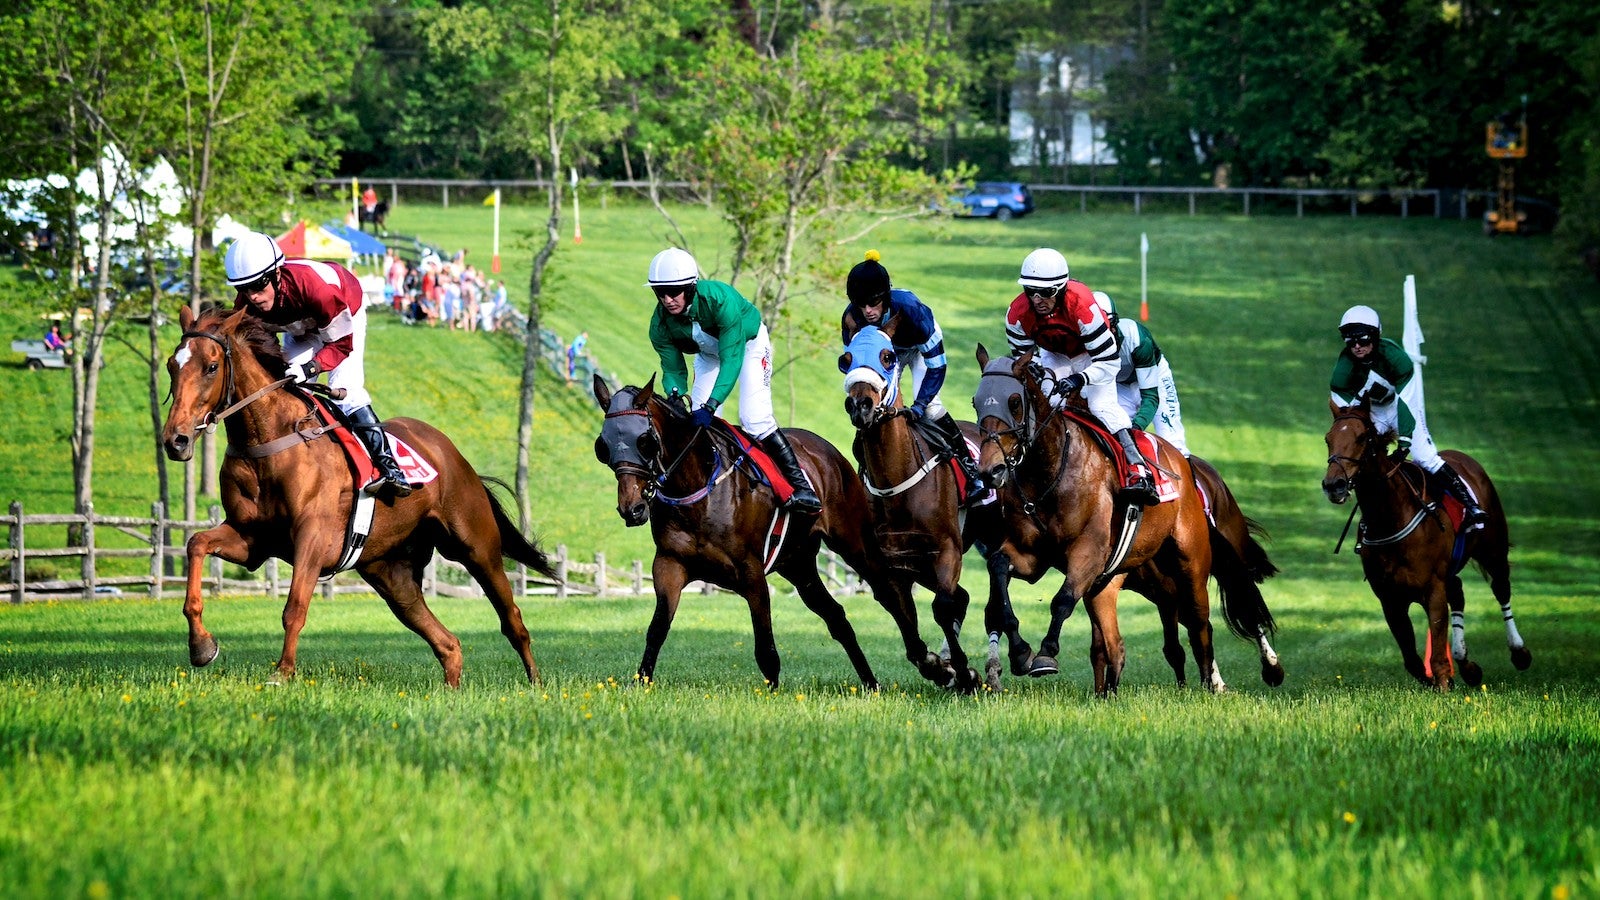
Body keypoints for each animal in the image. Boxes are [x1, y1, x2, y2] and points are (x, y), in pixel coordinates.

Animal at [159, 304, 553, 682]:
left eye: (211, 367)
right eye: (171, 366)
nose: (175, 441)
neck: (269, 440)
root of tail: (453, 454)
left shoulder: (313, 537)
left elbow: (295, 606)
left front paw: (282, 673)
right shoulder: (253, 539)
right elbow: (196, 544)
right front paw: (201, 646)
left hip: (476, 548)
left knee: (512, 620)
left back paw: (536, 684)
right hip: (391, 575)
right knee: (448, 643)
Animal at [595, 371, 953, 685]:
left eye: (644, 441)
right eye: (604, 445)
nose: (632, 508)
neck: (699, 489)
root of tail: (827, 450)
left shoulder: (751, 572)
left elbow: (765, 647)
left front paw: (772, 692)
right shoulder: (669, 565)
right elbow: (657, 629)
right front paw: (641, 682)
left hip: (854, 541)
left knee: (890, 591)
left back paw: (932, 663)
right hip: (798, 563)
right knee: (836, 617)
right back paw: (870, 683)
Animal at [966, 344, 1280, 695]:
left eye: (1015, 403)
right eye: (976, 402)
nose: (990, 471)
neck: (1050, 471)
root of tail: (1183, 464)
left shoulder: (1089, 552)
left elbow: (1062, 600)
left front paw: (1046, 655)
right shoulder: (1031, 554)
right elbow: (999, 571)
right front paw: (1020, 652)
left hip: (1194, 562)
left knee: (1209, 620)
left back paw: (1225, 681)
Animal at [1318, 398, 1529, 685]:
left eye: (1362, 437)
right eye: (1328, 439)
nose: (1334, 485)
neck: (1390, 516)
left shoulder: (1433, 588)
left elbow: (1437, 648)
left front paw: (1443, 681)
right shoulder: (1389, 598)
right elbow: (1412, 660)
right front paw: (1440, 678)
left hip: (1493, 550)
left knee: (1501, 589)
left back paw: (1519, 652)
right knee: (1459, 592)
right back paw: (1467, 665)